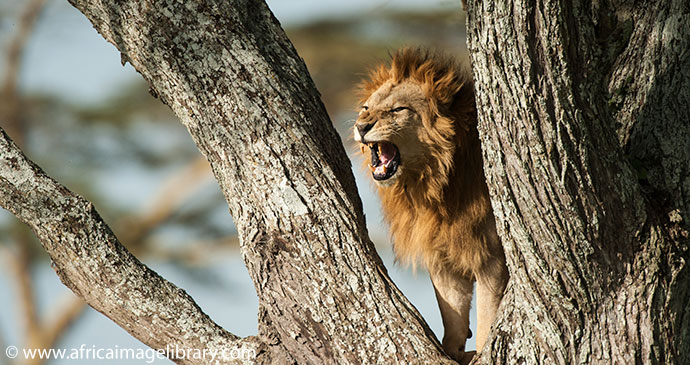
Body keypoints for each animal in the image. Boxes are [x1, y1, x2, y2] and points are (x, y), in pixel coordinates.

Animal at [352, 49, 508, 362]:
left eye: (398, 110)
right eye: (365, 108)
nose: (361, 126)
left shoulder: (492, 258)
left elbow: (487, 320)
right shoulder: (443, 257)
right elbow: (452, 313)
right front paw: (453, 353)